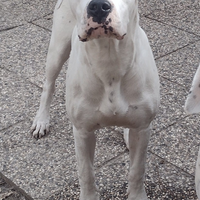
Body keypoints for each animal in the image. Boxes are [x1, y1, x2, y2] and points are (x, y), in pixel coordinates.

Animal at [30, 0, 159, 198]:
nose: (98, 6)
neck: (109, 59)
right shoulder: (83, 131)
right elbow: (86, 173)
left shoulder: (143, 128)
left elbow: (138, 170)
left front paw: (137, 195)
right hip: (57, 49)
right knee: (48, 85)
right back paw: (41, 120)